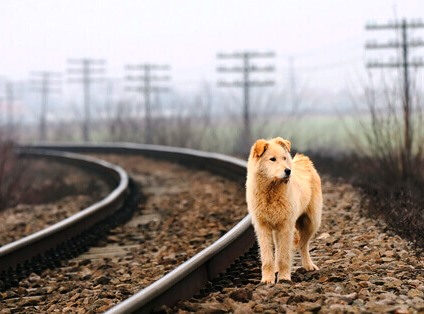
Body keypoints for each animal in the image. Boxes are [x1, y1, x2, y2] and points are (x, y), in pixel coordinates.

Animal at [245, 136, 322, 284]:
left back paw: (309, 265)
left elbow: (284, 256)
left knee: (303, 245)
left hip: (311, 222)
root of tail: (303, 159)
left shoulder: (286, 226)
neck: (271, 191)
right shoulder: (263, 227)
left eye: (284, 158)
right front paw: (267, 279)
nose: (288, 171)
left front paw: (284, 278)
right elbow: (268, 257)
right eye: (272, 159)